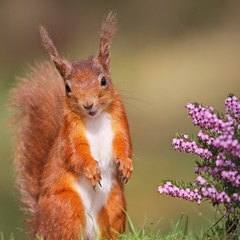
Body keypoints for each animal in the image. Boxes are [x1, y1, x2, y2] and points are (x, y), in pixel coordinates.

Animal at [9, 13, 133, 240]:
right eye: (67, 87)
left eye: (104, 80)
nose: (88, 104)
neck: (94, 119)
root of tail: (39, 224)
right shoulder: (69, 132)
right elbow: (73, 153)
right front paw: (91, 169)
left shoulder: (120, 122)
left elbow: (124, 144)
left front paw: (126, 165)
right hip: (66, 207)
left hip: (114, 205)